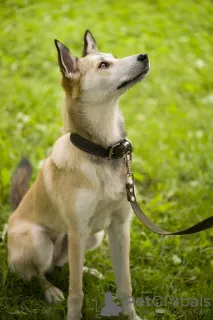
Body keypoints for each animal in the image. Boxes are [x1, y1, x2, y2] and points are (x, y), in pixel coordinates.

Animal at [7, 28, 150, 318]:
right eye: (104, 65)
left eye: (112, 57)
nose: (144, 55)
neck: (103, 151)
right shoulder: (76, 229)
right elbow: (76, 292)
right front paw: (73, 314)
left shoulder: (120, 228)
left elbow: (125, 285)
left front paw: (132, 315)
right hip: (39, 240)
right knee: (39, 273)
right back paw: (50, 290)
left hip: (93, 236)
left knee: (65, 265)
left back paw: (89, 270)